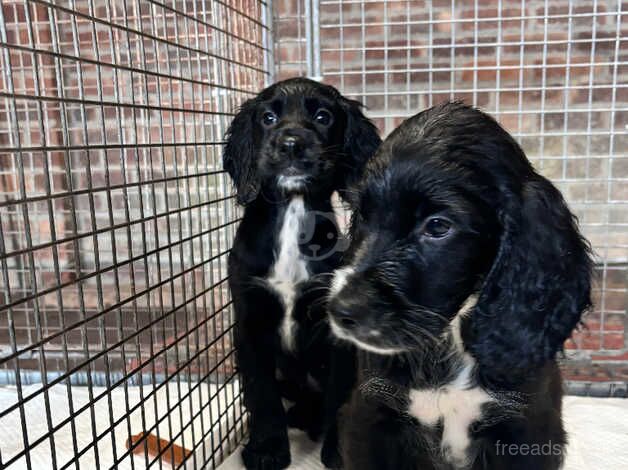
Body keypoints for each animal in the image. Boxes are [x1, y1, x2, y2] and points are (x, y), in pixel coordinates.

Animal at [223, 78, 380, 470]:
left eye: (323, 117)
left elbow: (339, 397)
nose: (291, 143)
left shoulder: (336, 332)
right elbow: (261, 394)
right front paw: (267, 449)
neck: (293, 210)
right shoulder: (250, 321)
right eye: (267, 117)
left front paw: (337, 451)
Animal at [326, 103, 592, 470]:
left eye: (438, 226)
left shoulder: (526, 427)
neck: (449, 340)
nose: (342, 311)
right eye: (363, 215)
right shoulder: (371, 417)